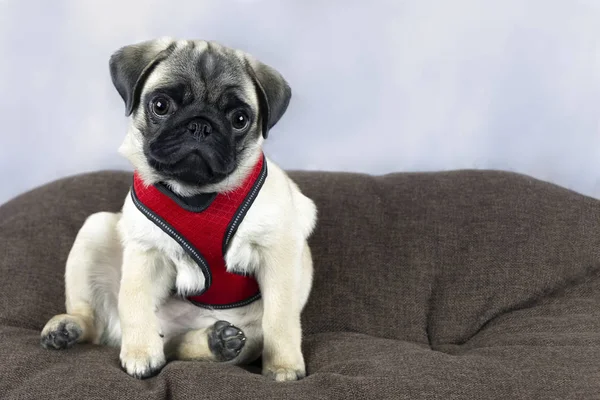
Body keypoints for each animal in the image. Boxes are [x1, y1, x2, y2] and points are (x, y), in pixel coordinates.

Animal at [39, 38, 316, 382]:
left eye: (240, 119)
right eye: (160, 106)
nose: (200, 125)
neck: (196, 196)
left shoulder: (277, 251)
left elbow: (281, 316)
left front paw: (283, 366)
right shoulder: (146, 252)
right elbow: (134, 301)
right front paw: (141, 354)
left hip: (249, 336)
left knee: (184, 346)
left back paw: (217, 342)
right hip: (96, 228)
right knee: (98, 324)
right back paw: (68, 328)